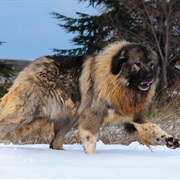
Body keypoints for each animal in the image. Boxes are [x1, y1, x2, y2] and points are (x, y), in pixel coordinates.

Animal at [0, 40, 179, 153]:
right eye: (137, 64)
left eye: (152, 64)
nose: (150, 78)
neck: (116, 80)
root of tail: (30, 67)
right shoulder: (93, 115)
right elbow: (90, 140)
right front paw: (92, 159)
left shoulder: (132, 114)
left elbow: (154, 128)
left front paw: (169, 139)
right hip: (24, 114)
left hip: (67, 118)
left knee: (55, 142)